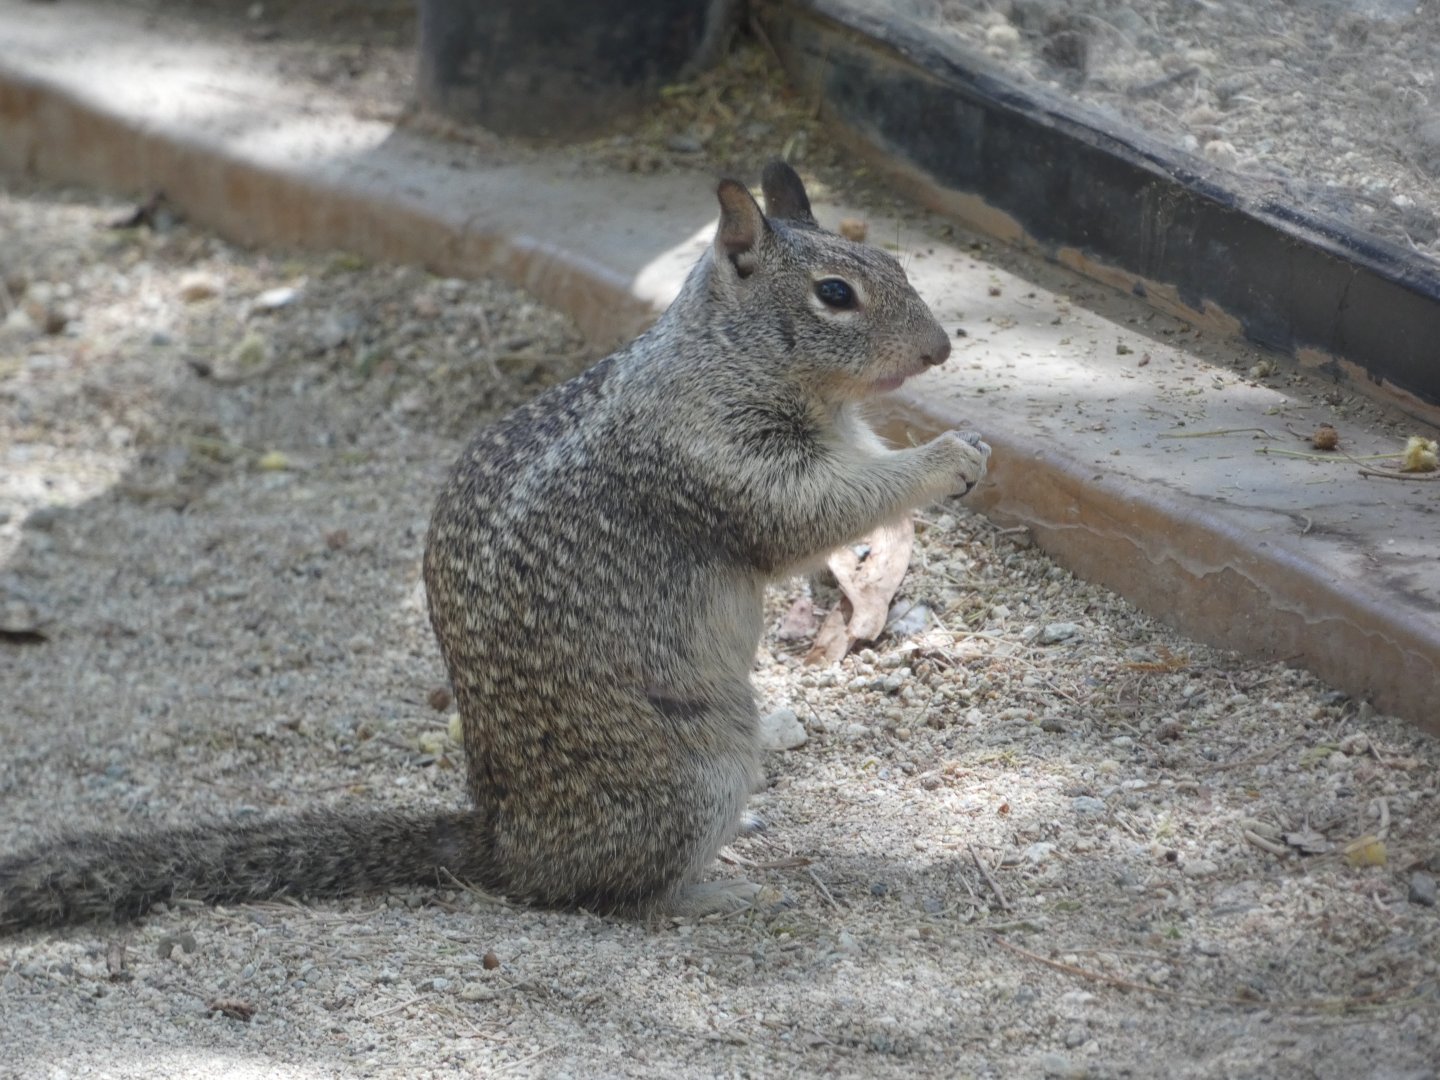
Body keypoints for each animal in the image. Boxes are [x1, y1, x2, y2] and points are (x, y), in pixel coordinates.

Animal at [0, 161, 989, 932]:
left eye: (897, 263)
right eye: (836, 295)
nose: (941, 350)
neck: (721, 357)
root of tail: (505, 843)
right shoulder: (725, 464)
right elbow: (815, 513)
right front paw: (948, 458)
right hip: (696, 776)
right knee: (607, 898)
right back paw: (716, 895)